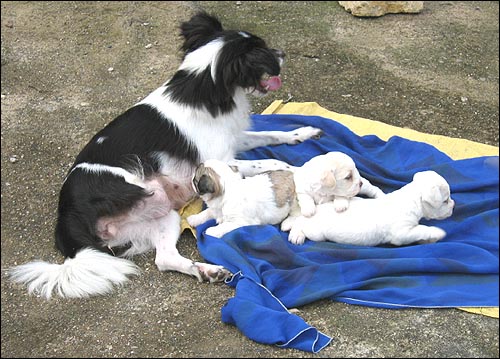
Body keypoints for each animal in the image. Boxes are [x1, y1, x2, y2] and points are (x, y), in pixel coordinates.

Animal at [9, 11, 322, 300]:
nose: (283, 54)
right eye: (264, 51)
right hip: (146, 189)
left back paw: (207, 271)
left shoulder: (233, 139)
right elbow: (269, 162)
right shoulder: (220, 159)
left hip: (163, 217)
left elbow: (271, 135)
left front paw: (302, 132)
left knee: (164, 259)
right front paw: (294, 169)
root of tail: (66, 215)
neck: (205, 90)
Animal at [286, 172, 454, 248]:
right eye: (445, 201)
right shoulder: (401, 233)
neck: (411, 200)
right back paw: (296, 235)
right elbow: (421, 229)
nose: (453, 205)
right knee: (300, 223)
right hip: (316, 232)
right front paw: (437, 232)